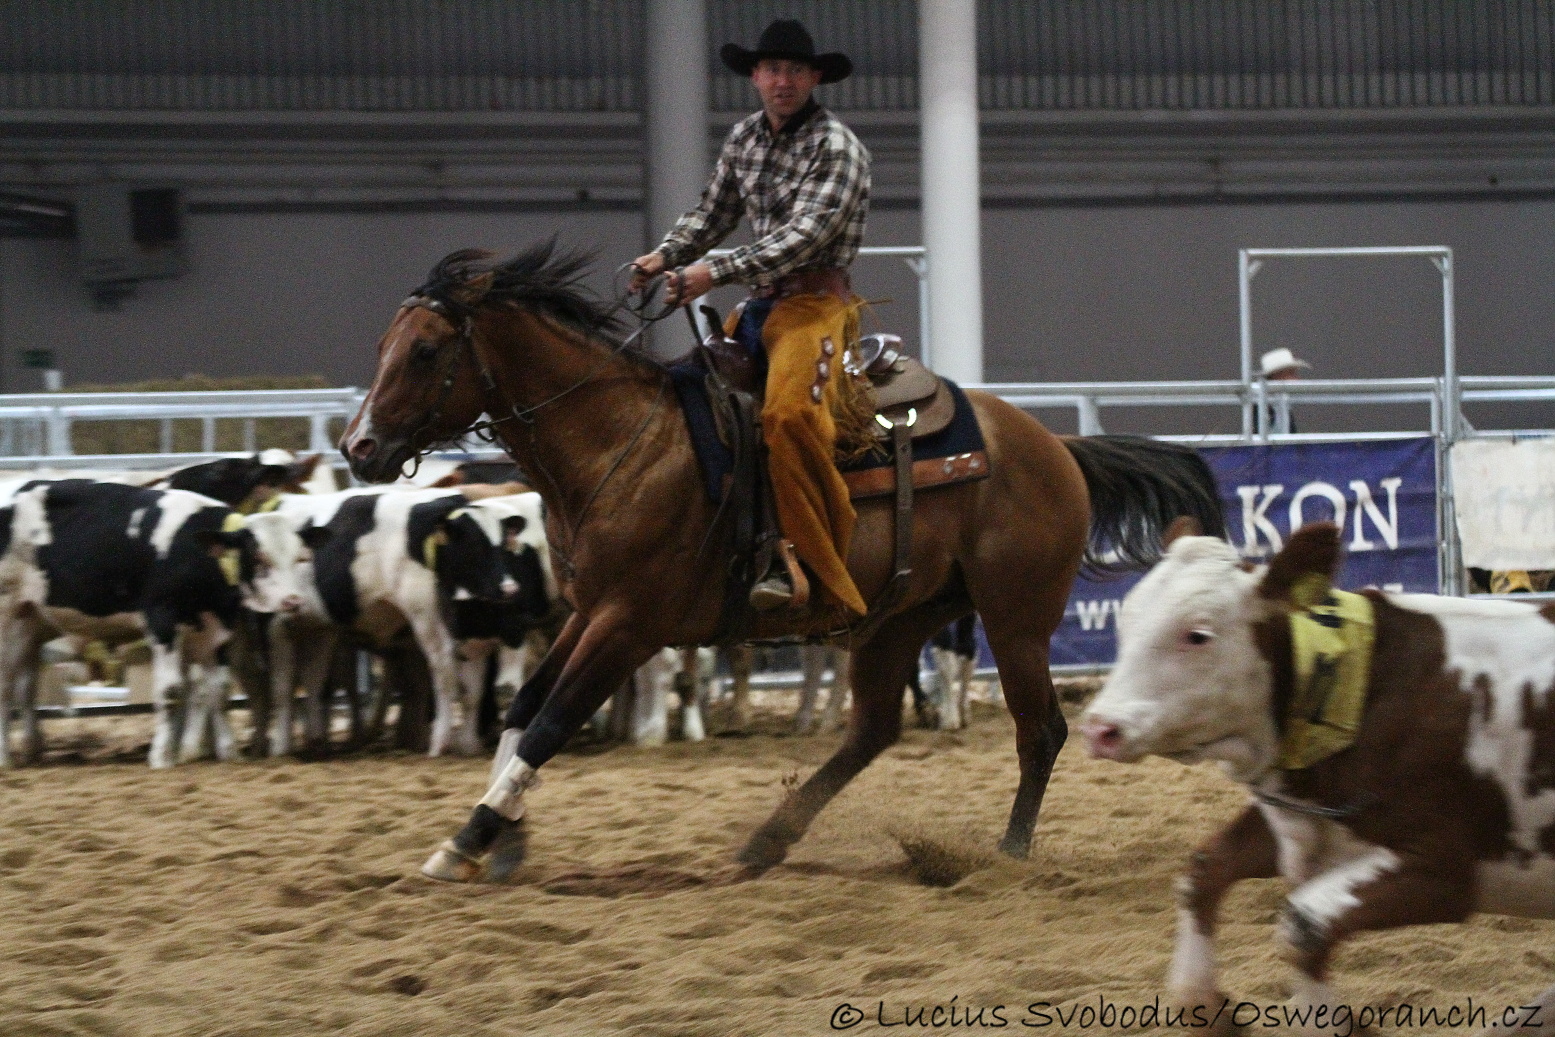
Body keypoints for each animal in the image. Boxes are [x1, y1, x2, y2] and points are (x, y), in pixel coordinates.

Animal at [0, 481, 292, 768]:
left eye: (297, 555)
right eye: (258, 556)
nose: (292, 600)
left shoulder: (218, 630)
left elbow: (219, 691)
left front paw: (229, 753)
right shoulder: (162, 619)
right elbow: (170, 691)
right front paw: (162, 757)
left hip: (28, 622)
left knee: (23, 684)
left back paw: (31, 751)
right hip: (6, 614)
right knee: (6, 686)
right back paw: (5, 759)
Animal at [340, 245, 1225, 883]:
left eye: (424, 351)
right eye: (382, 344)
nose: (358, 447)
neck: (621, 443)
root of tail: (1056, 446)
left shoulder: (629, 623)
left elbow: (552, 722)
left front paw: (469, 837)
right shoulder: (589, 610)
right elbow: (524, 709)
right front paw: (505, 836)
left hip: (1016, 617)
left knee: (1039, 729)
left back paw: (1003, 857)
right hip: (901, 615)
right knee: (871, 730)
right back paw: (768, 840)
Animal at [1088, 522, 1555, 1032]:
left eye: (1197, 635)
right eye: (1126, 621)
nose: (1100, 728)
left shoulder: (1444, 870)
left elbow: (1304, 927)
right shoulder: (1304, 816)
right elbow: (1206, 870)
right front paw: (1207, 1006)